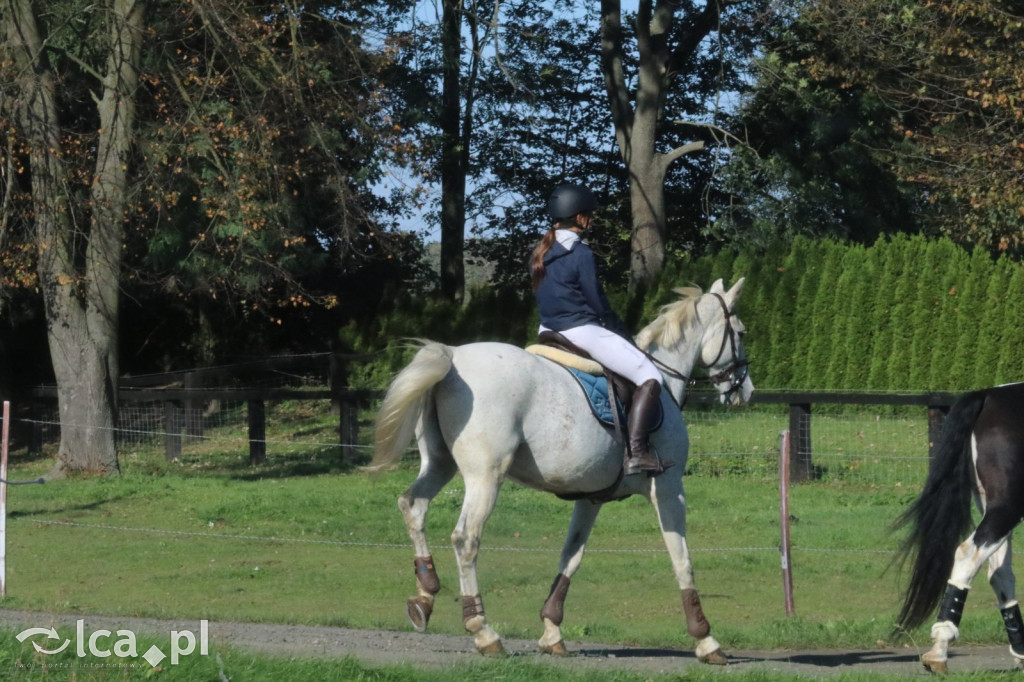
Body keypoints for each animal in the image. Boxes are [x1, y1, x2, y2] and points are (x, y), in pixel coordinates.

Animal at [892, 378, 1024, 671]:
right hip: (1006, 508)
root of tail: (990, 395)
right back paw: (939, 649)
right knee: (968, 556)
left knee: (999, 572)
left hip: (992, 506)